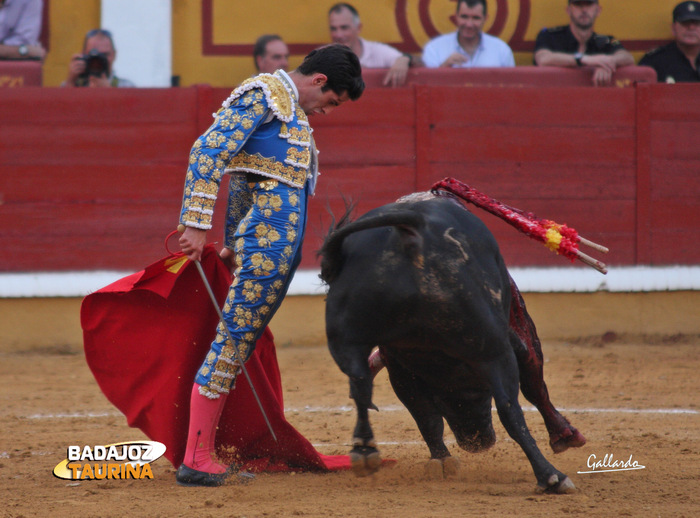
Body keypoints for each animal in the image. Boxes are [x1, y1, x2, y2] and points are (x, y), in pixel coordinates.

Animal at [320, 195, 584, 496]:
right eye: (480, 393)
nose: (477, 442)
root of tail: (409, 233)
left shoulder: (400, 368)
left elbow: (425, 415)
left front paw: (441, 460)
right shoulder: (521, 334)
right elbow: (535, 388)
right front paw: (565, 435)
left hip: (349, 342)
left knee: (361, 388)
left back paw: (365, 451)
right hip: (493, 348)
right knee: (510, 409)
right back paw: (551, 476)